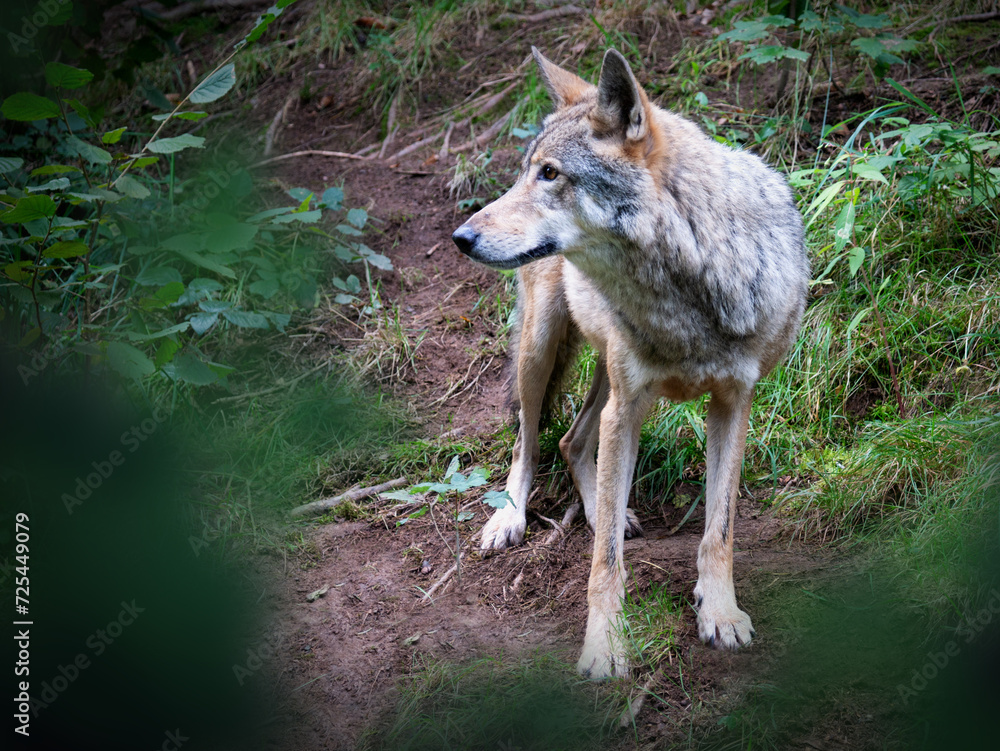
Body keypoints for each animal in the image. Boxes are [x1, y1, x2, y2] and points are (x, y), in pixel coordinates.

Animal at [451, 48, 808, 679]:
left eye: (550, 174)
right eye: (526, 172)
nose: (461, 235)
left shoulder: (733, 403)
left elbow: (720, 529)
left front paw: (720, 614)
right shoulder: (628, 408)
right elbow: (605, 565)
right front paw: (605, 648)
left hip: (605, 377)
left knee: (571, 439)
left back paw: (604, 513)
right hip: (544, 349)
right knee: (529, 439)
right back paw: (511, 518)